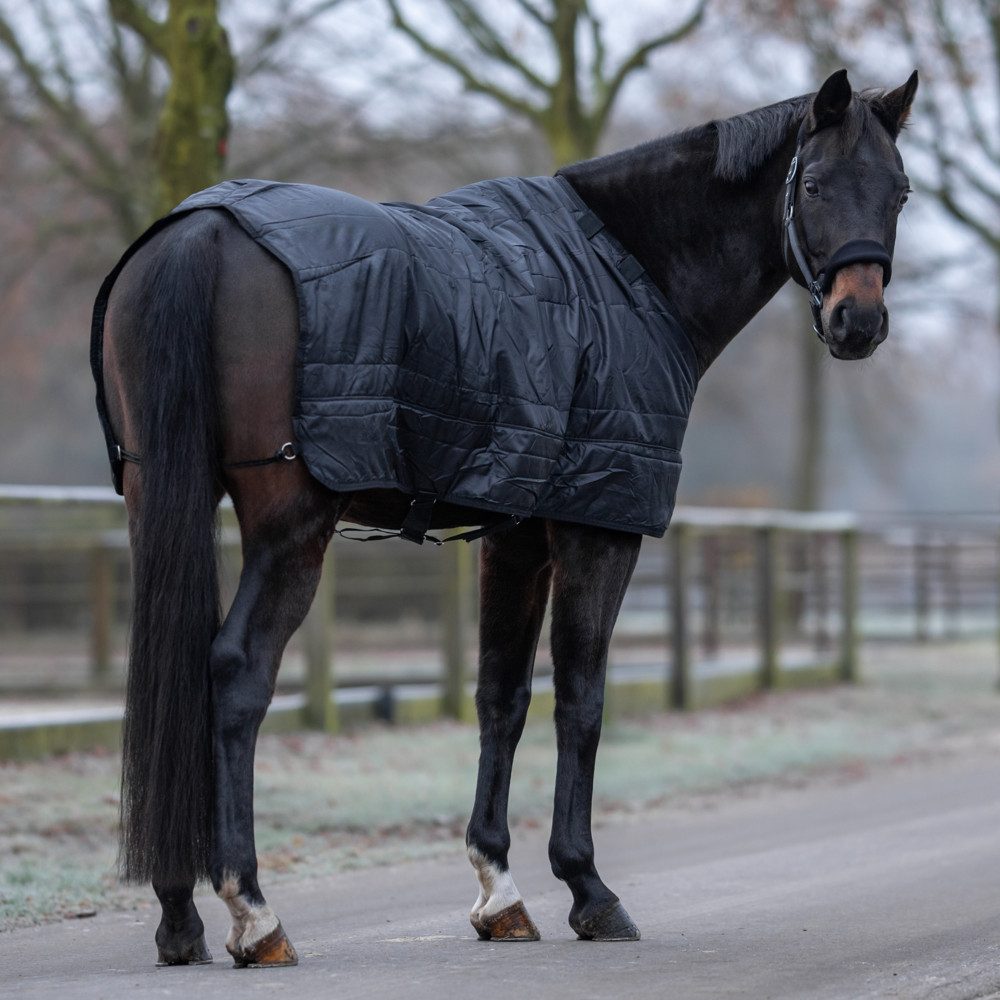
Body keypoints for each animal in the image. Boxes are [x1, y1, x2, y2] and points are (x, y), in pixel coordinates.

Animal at [94, 68, 917, 967]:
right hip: (290, 530)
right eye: (813, 184)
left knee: (169, 674)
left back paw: (180, 917)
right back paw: (254, 911)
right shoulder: (598, 529)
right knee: (237, 672)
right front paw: (588, 889)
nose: (858, 322)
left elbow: (502, 696)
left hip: (160, 499)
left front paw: (500, 892)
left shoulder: (516, 536)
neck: (629, 269)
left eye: (900, 193)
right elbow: (581, 699)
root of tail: (200, 234)